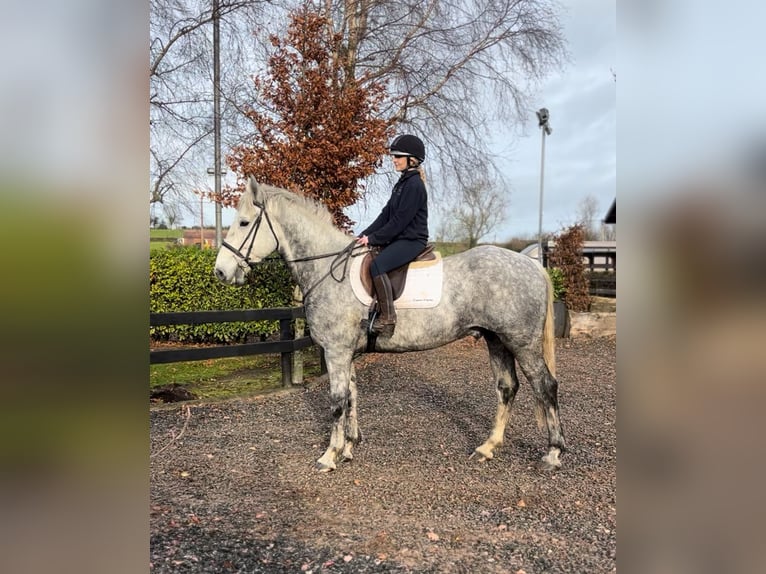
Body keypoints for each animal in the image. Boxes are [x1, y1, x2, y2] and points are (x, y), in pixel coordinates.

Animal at [214, 177, 566, 472]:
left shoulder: (336, 352)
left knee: (545, 385)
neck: (327, 269)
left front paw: (329, 456)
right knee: (507, 388)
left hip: (521, 343)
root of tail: (532, 264)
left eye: (244, 223)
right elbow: (352, 397)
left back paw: (553, 453)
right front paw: (348, 448)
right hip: (496, 340)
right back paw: (488, 447)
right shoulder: (345, 354)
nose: (220, 272)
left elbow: (337, 403)